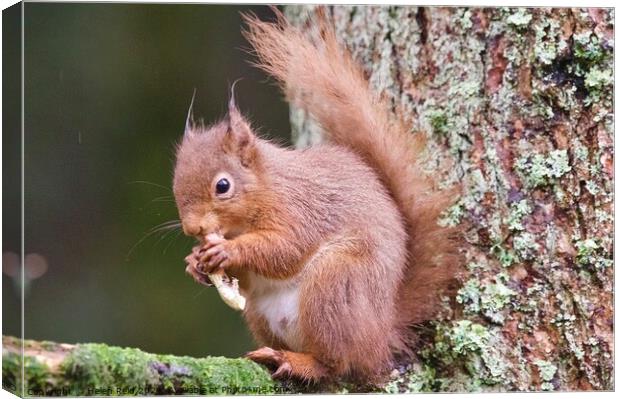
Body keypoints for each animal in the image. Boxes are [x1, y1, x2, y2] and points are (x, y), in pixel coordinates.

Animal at [172, 7, 458, 384]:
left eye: (223, 186)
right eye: (175, 185)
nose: (192, 229)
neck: (267, 188)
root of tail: (381, 334)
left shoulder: (300, 209)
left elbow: (286, 249)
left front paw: (228, 251)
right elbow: (246, 281)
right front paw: (194, 263)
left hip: (334, 285)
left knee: (337, 362)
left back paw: (299, 362)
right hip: (261, 314)